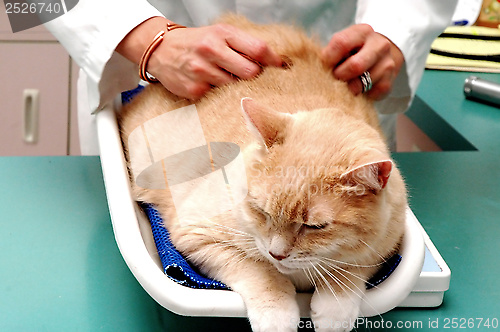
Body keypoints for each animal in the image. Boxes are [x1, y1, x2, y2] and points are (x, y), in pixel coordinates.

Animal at [120, 14, 406, 330]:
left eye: (315, 227)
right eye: (261, 212)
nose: (277, 254)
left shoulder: (383, 249)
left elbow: (349, 272)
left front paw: (335, 313)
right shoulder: (198, 234)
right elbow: (260, 272)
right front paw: (277, 315)